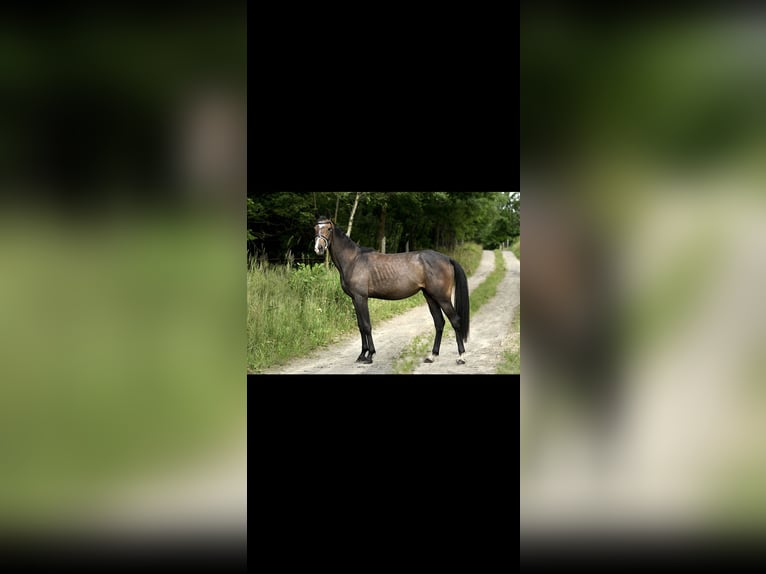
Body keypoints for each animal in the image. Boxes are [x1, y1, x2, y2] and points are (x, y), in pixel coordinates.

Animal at [313, 216, 470, 365]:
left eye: (329, 229)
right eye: (315, 228)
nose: (318, 248)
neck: (353, 260)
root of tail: (447, 258)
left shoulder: (361, 298)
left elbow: (367, 325)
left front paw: (370, 355)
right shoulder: (354, 299)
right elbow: (360, 326)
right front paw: (362, 355)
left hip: (442, 298)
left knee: (455, 321)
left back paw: (461, 357)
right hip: (430, 297)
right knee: (439, 323)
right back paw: (432, 356)